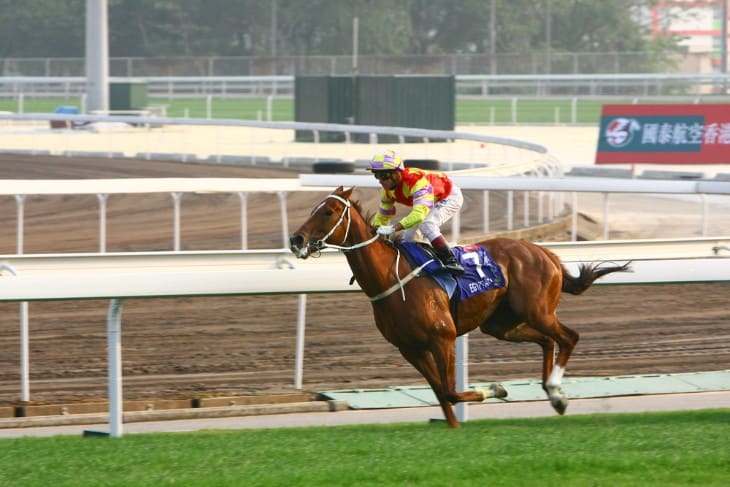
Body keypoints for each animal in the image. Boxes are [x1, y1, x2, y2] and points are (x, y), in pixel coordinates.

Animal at [288, 187, 628, 428]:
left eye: (328, 211)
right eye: (314, 208)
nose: (296, 239)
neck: (391, 278)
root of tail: (548, 254)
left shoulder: (443, 338)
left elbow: (450, 391)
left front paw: (495, 389)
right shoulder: (410, 348)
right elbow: (441, 394)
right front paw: (455, 426)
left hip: (538, 312)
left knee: (568, 337)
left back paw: (556, 390)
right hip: (501, 325)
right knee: (547, 341)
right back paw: (554, 395)